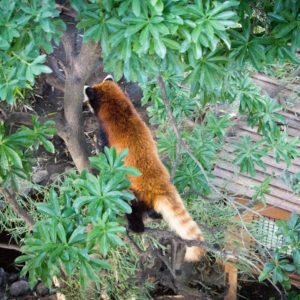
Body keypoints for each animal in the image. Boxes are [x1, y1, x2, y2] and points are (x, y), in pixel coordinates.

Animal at [83, 75, 205, 260]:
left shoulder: (106, 133)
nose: (84, 104)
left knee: (133, 208)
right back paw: (156, 215)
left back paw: (136, 226)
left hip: (135, 194)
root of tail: (159, 184)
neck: (118, 108)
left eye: (88, 100)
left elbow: (106, 151)